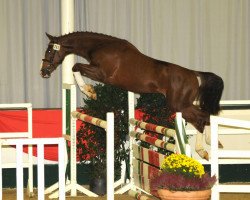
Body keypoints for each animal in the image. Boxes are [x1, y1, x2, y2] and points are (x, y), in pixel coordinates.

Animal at [41, 31, 225, 159]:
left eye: (50, 50)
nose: (43, 72)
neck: (100, 46)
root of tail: (194, 74)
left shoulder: (101, 74)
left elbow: (76, 67)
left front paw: (89, 91)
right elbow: (76, 68)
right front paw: (90, 91)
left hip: (179, 105)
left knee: (202, 118)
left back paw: (207, 146)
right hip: (183, 105)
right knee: (202, 118)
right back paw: (208, 146)